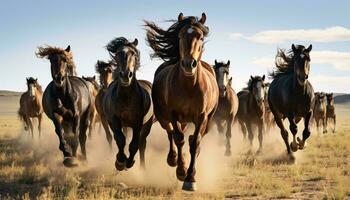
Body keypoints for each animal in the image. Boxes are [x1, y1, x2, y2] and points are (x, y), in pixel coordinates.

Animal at [102, 37, 154, 170]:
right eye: (117, 54)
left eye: (134, 54)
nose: (126, 75)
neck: (125, 97)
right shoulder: (114, 119)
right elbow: (120, 140)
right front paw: (120, 162)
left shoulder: (138, 122)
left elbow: (134, 144)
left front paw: (129, 162)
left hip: (147, 124)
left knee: (142, 143)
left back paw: (142, 167)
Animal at [145, 12, 219, 191]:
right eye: (180, 36)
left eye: (200, 37)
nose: (188, 64)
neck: (189, 86)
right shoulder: (173, 114)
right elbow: (178, 138)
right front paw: (181, 170)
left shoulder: (201, 117)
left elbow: (195, 142)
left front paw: (190, 178)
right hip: (165, 118)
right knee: (171, 133)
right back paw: (173, 159)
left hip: (206, 120)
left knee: (194, 138)